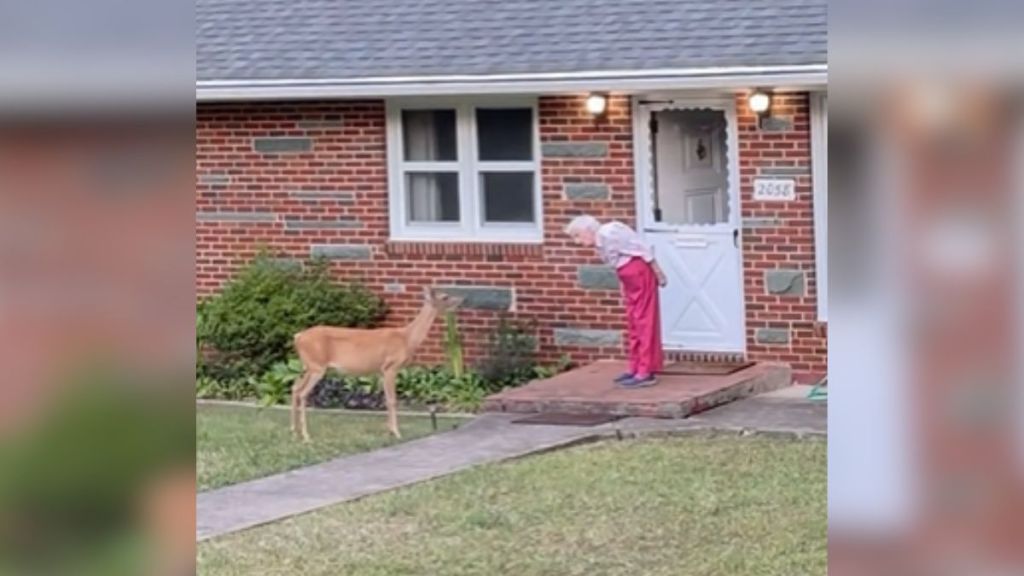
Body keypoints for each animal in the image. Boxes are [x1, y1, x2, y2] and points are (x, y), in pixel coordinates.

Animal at [288, 284, 464, 438]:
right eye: (445, 296)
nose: (461, 299)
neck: (407, 338)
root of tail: (298, 337)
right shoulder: (391, 366)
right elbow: (392, 400)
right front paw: (397, 432)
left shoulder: (381, 371)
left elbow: (385, 399)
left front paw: (389, 431)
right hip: (317, 366)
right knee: (303, 392)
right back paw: (306, 435)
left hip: (307, 366)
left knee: (295, 387)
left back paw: (294, 431)